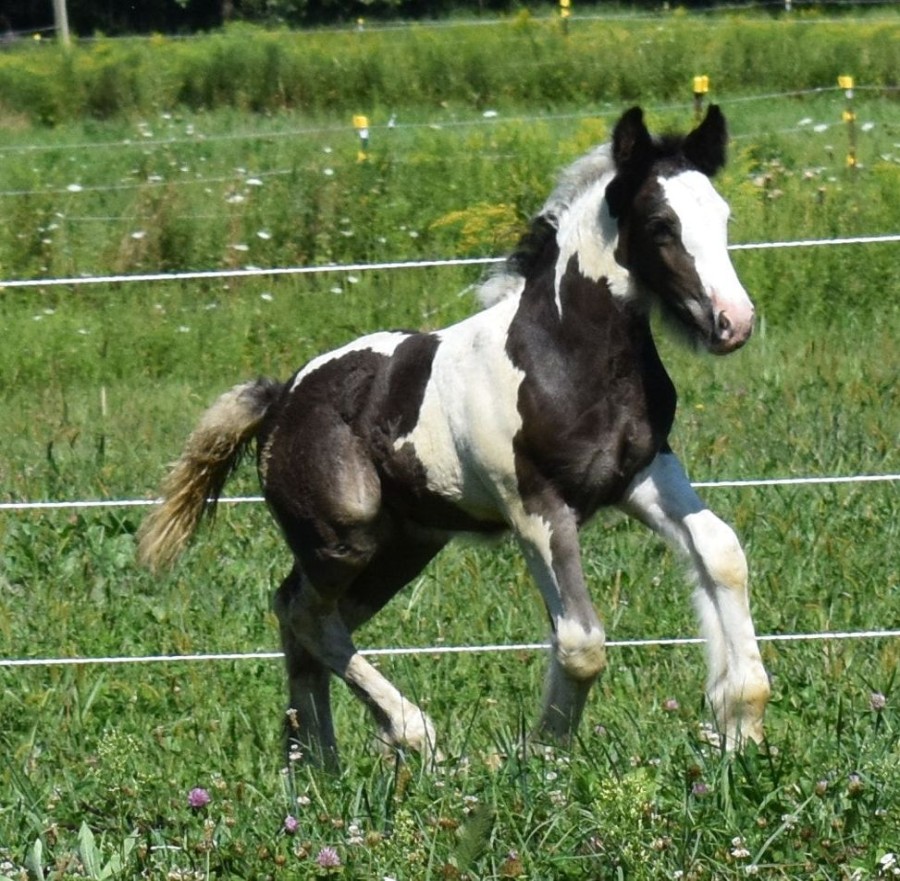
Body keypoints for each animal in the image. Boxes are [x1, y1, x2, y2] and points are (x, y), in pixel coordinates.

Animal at [142, 106, 772, 768]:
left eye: (723, 216)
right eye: (660, 224)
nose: (734, 323)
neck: (565, 357)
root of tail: (281, 397)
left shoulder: (645, 474)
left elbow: (721, 554)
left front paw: (740, 723)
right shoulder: (535, 506)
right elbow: (580, 641)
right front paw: (542, 753)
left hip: (405, 544)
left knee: (309, 619)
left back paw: (315, 760)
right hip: (345, 537)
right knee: (302, 613)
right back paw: (405, 734)